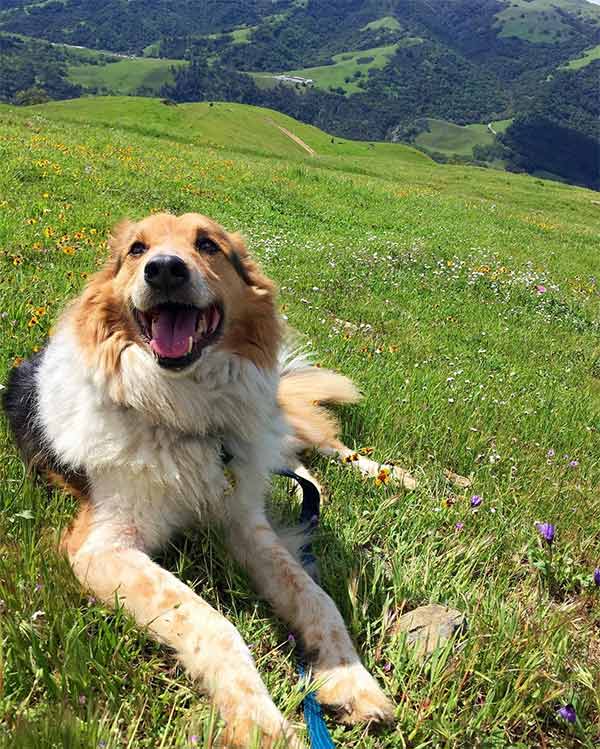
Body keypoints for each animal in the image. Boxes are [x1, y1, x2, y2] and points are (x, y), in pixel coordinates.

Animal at [1, 213, 412, 744]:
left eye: (208, 245)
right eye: (137, 249)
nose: (164, 270)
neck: (180, 412)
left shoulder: (244, 522)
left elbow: (315, 597)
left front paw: (351, 679)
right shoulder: (100, 547)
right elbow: (209, 620)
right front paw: (262, 724)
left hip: (279, 426)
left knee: (326, 445)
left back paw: (402, 478)